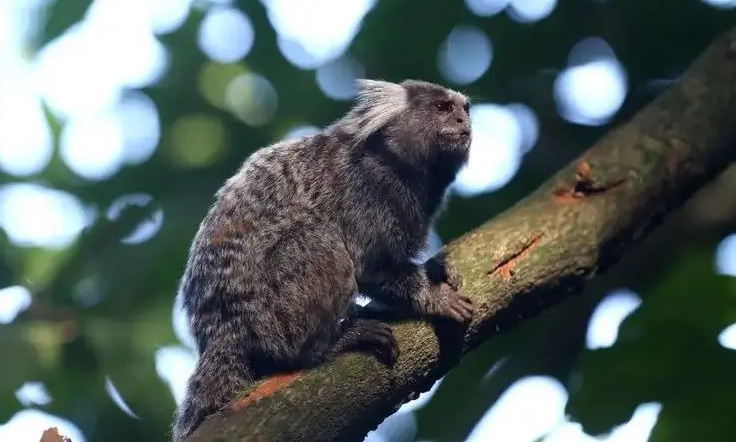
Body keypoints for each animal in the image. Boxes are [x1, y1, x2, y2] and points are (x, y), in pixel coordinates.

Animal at [170, 77, 474, 440]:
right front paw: (434, 297)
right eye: (443, 108)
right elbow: (371, 267)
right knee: (318, 239)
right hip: (267, 315)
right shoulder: (366, 192)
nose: (464, 122)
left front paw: (435, 269)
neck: (397, 163)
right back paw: (328, 345)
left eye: (464, 109)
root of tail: (221, 331)